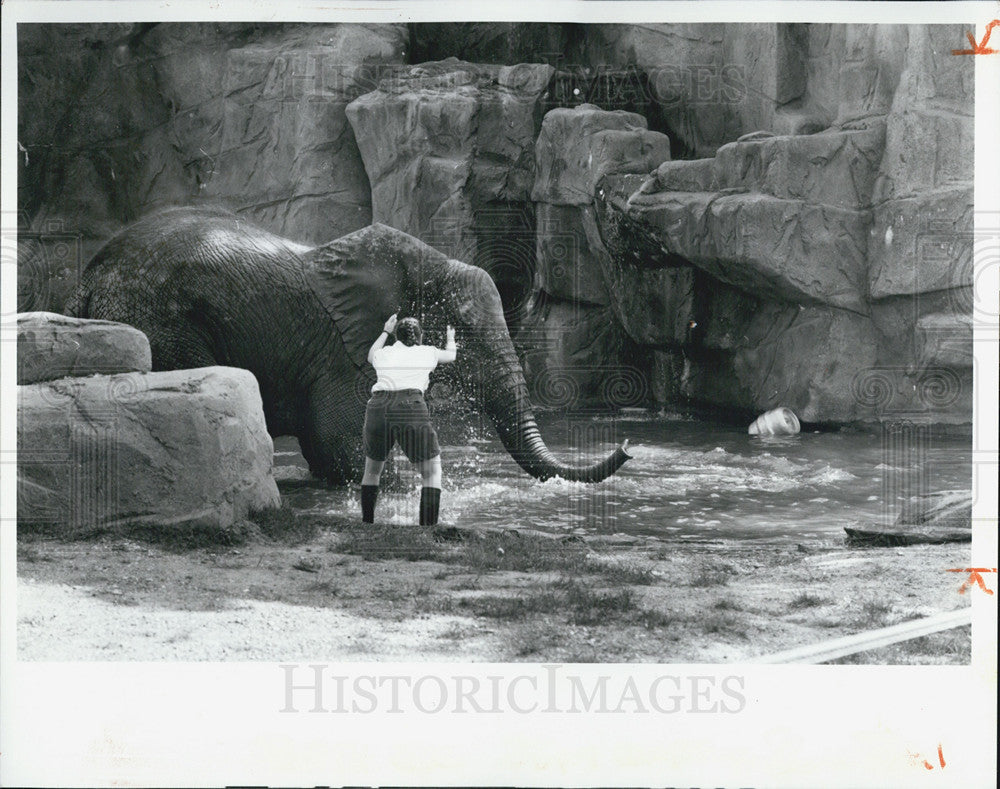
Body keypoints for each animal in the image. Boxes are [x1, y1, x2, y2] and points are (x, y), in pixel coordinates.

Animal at [68, 206, 632, 484]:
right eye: (463, 338)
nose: (626, 447)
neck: (421, 259)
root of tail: (86, 281)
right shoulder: (346, 351)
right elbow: (339, 442)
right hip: (161, 322)